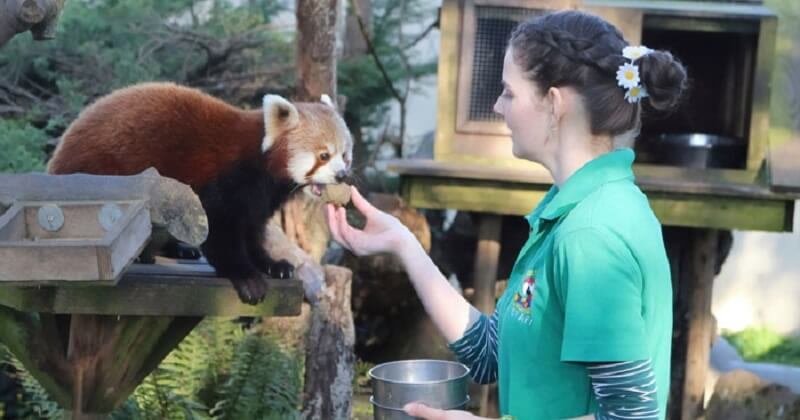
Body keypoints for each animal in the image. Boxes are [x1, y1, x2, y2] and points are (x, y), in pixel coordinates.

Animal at [48, 82, 352, 304]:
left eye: (345, 154)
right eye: (324, 155)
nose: (342, 175)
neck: (260, 161)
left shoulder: (258, 199)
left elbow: (252, 231)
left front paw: (271, 264)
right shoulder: (224, 181)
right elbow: (220, 232)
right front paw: (246, 276)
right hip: (106, 175)